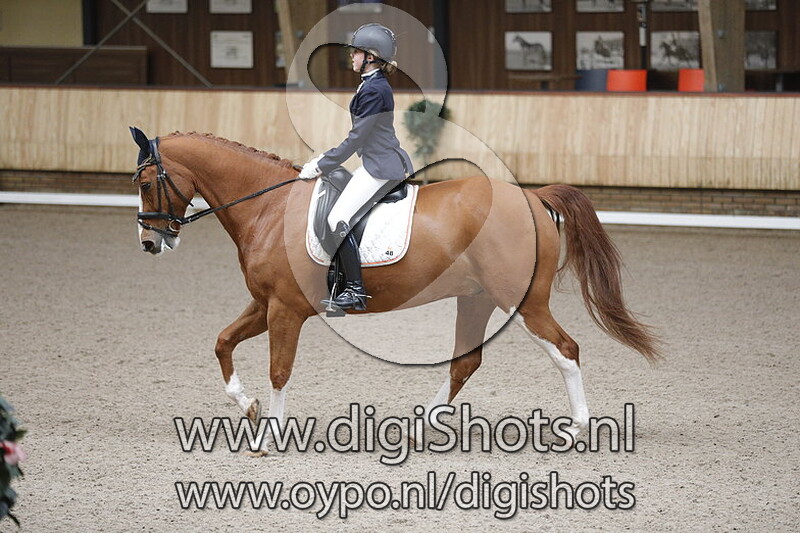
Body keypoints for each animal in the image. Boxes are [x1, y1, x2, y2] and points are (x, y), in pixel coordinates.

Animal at [130, 129, 661, 455]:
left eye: (145, 182)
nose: (149, 242)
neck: (269, 207)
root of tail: (532, 196)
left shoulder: (284, 310)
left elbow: (279, 370)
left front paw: (270, 436)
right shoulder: (266, 304)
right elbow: (222, 342)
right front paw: (248, 407)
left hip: (522, 301)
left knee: (565, 350)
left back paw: (576, 428)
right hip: (477, 298)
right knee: (466, 362)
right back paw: (418, 426)